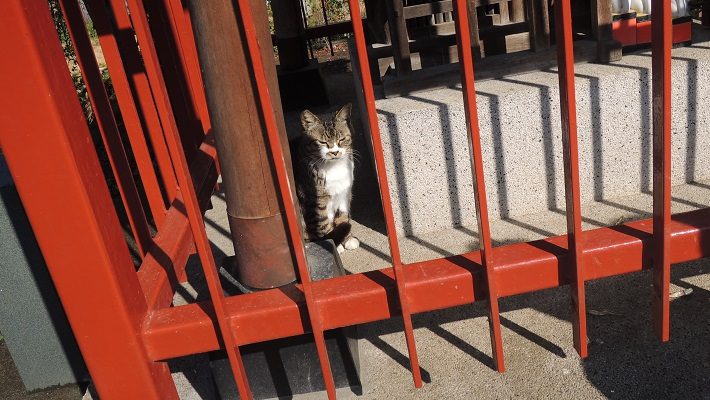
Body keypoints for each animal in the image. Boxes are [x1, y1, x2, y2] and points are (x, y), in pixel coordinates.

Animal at [290, 103, 358, 253]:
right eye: (322, 142)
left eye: (341, 139)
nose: (335, 152)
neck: (334, 168)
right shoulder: (315, 199)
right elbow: (322, 223)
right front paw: (333, 244)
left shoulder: (344, 193)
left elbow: (343, 217)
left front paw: (348, 239)